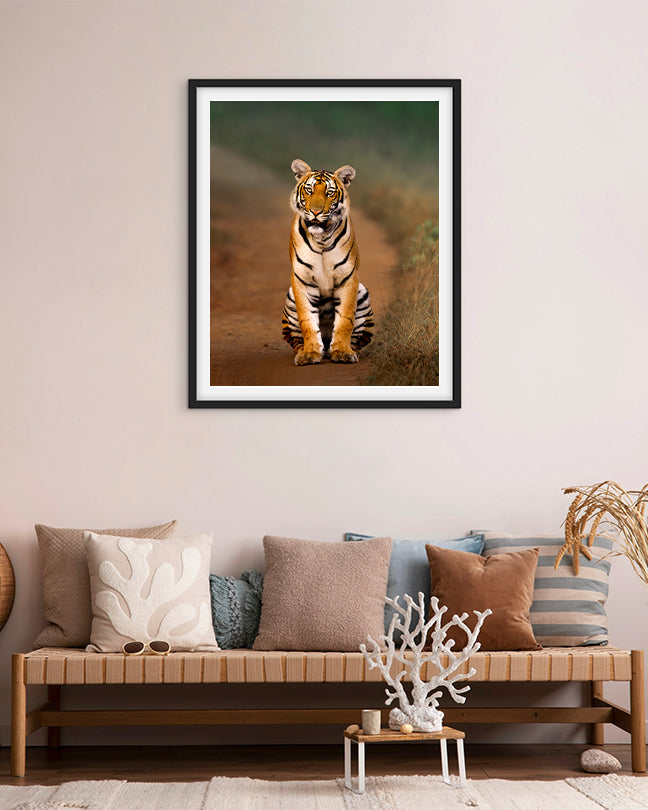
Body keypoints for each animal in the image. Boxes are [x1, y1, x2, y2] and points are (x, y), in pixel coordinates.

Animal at [281, 158, 374, 365]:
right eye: (309, 190)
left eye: (329, 193)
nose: (315, 212)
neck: (321, 238)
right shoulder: (302, 280)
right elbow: (307, 320)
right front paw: (309, 353)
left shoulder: (348, 278)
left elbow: (345, 319)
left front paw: (342, 352)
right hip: (290, 298)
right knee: (296, 340)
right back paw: (305, 351)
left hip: (363, 293)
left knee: (359, 339)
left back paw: (344, 351)